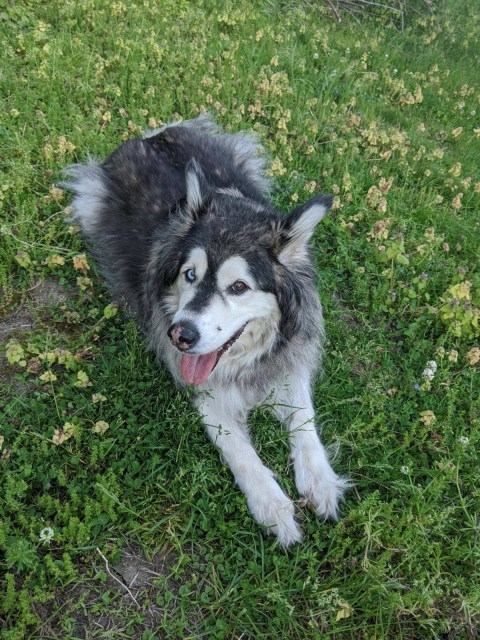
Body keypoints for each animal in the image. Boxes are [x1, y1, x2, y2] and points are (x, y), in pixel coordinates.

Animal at [64, 114, 348, 544]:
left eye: (239, 287)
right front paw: (273, 506)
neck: (245, 362)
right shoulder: (207, 395)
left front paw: (319, 480)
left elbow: (304, 418)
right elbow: (240, 451)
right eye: (189, 275)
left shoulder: (290, 359)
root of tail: (153, 135)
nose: (180, 336)